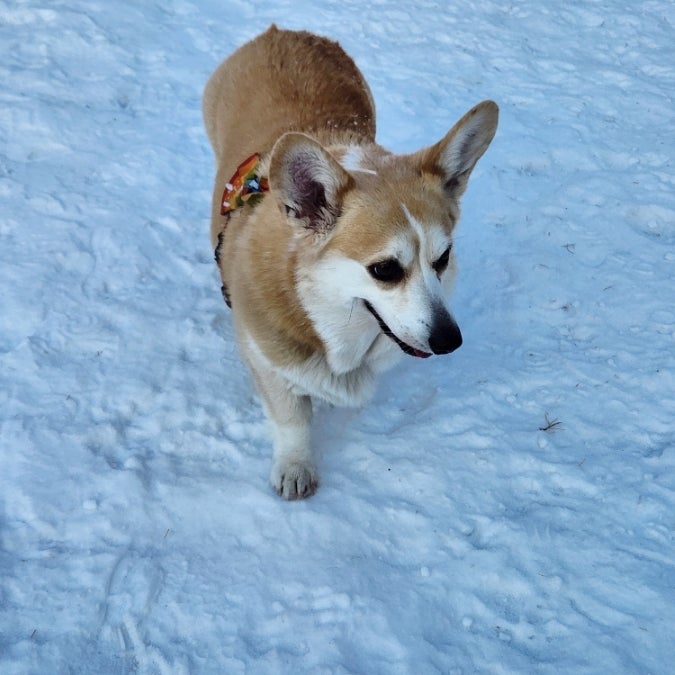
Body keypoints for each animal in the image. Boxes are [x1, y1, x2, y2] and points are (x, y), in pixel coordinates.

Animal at [203, 26, 500, 500]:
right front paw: (295, 467)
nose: (449, 341)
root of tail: (279, 31)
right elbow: (292, 419)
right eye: (385, 270)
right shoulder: (267, 362)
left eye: (443, 259)